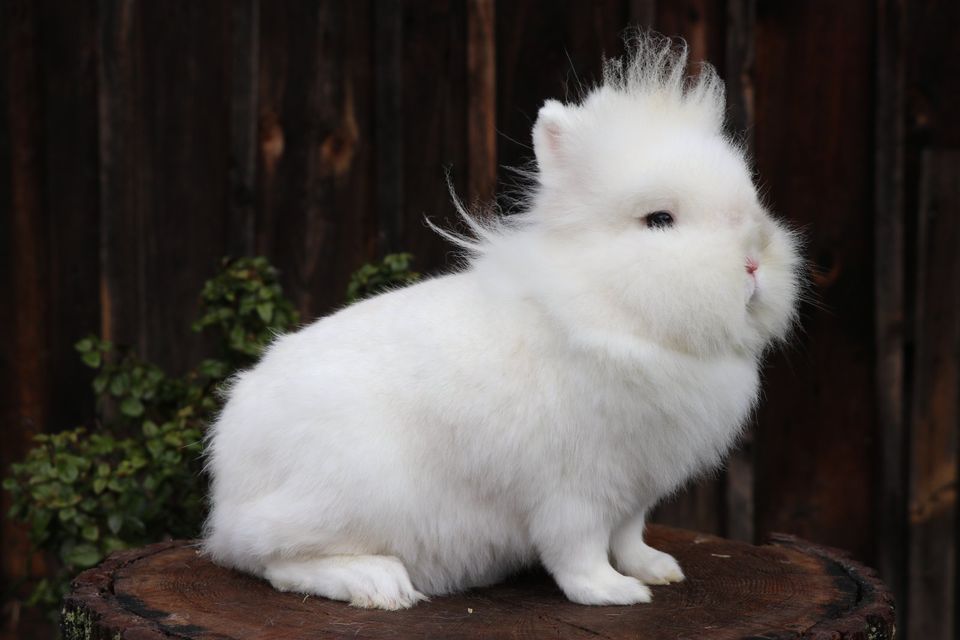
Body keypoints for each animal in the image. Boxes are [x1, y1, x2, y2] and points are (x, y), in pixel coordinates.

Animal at [202, 33, 804, 608]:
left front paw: (657, 571)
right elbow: (578, 550)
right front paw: (612, 593)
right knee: (272, 559)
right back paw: (378, 585)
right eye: (659, 220)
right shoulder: (574, 489)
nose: (754, 260)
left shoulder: (634, 491)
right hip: (344, 495)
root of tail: (227, 479)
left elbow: (629, 537)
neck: (608, 311)